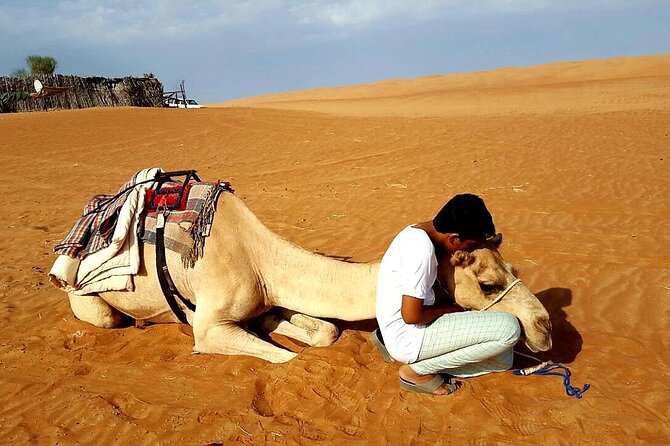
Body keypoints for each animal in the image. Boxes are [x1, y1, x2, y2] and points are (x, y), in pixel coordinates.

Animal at [67, 192, 552, 363]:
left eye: (514, 270)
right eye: (488, 285)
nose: (544, 327)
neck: (261, 258)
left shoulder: (271, 297)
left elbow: (325, 332)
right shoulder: (208, 327)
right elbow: (286, 359)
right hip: (83, 295)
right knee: (109, 316)